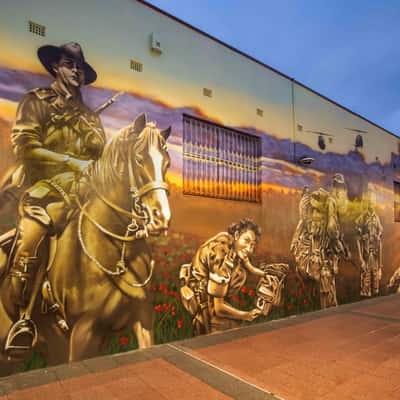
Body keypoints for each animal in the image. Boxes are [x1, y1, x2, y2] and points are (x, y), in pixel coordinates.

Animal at [0, 111, 170, 366]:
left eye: (166, 163)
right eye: (140, 159)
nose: (161, 218)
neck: (117, 250)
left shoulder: (143, 320)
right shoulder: (84, 331)